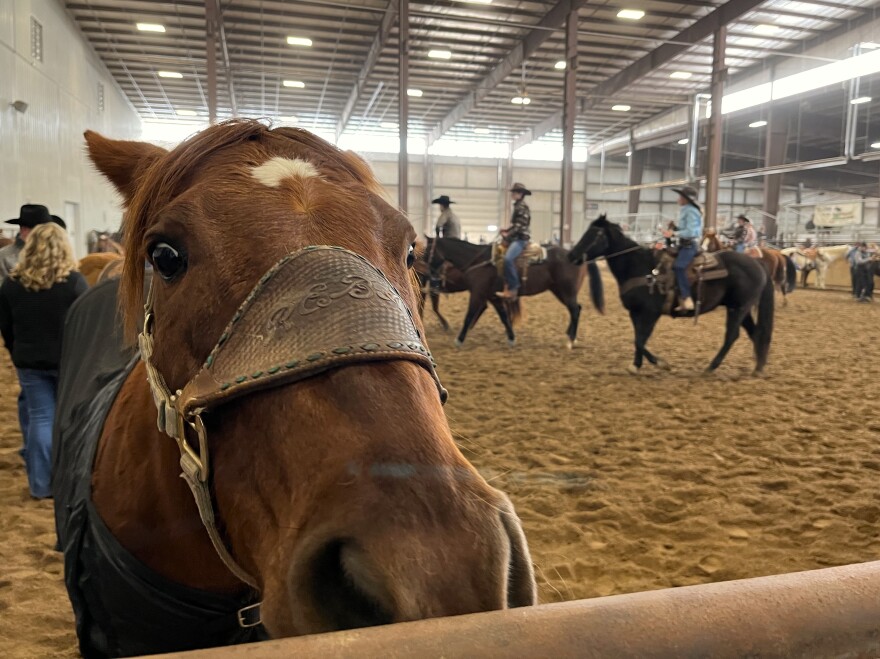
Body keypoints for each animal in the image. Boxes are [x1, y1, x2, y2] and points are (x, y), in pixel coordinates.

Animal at [428, 238, 604, 350]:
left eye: (429, 251)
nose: (431, 276)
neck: (478, 261)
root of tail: (579, 256)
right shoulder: (493, 296)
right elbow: (504, 317)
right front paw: (512, 339)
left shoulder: (477, 293)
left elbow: (469, 316)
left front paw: (458, 340)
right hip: (559, 291)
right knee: (575, 309)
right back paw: (570, 336)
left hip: (566, 291)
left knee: (575, 310)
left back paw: (570, 340)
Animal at [568, 218, 772, 376]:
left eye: (595, 235)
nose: (571, 255)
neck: (640, 267)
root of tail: (757, 263)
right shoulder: (635, 312)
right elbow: (638, 338)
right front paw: (636, 365)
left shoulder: (651, 313)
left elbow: (640, 339)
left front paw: (660, 363)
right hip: (740, 308)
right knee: (755, 332)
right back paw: (758, 367)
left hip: (738, 308)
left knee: (731, 335)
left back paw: (711, 367)